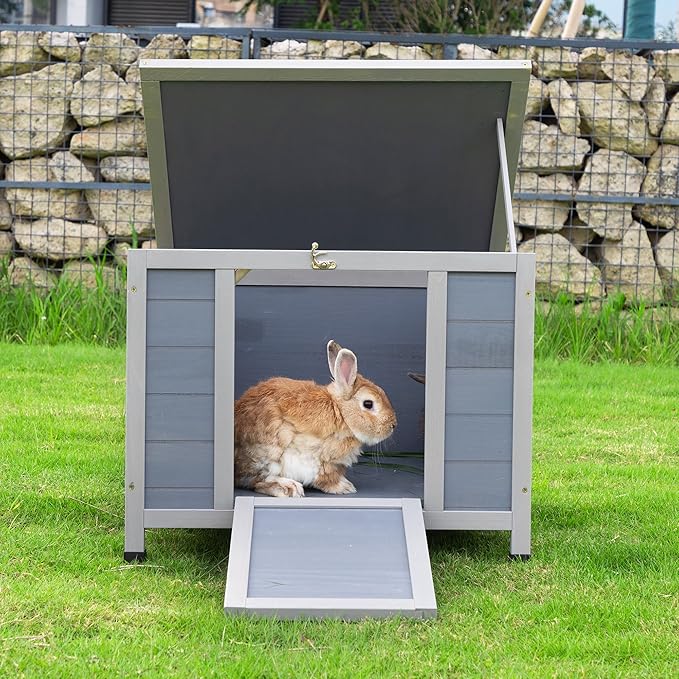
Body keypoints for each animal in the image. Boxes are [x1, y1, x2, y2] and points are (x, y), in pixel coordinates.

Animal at [234, 340, 397, 498]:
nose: (393, 425)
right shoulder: (323, 461)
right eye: (368, 404)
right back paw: (288, 487)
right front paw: (344, 487)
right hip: (270, 455)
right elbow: (326, 478)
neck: (341, 412)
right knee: (256, 480)